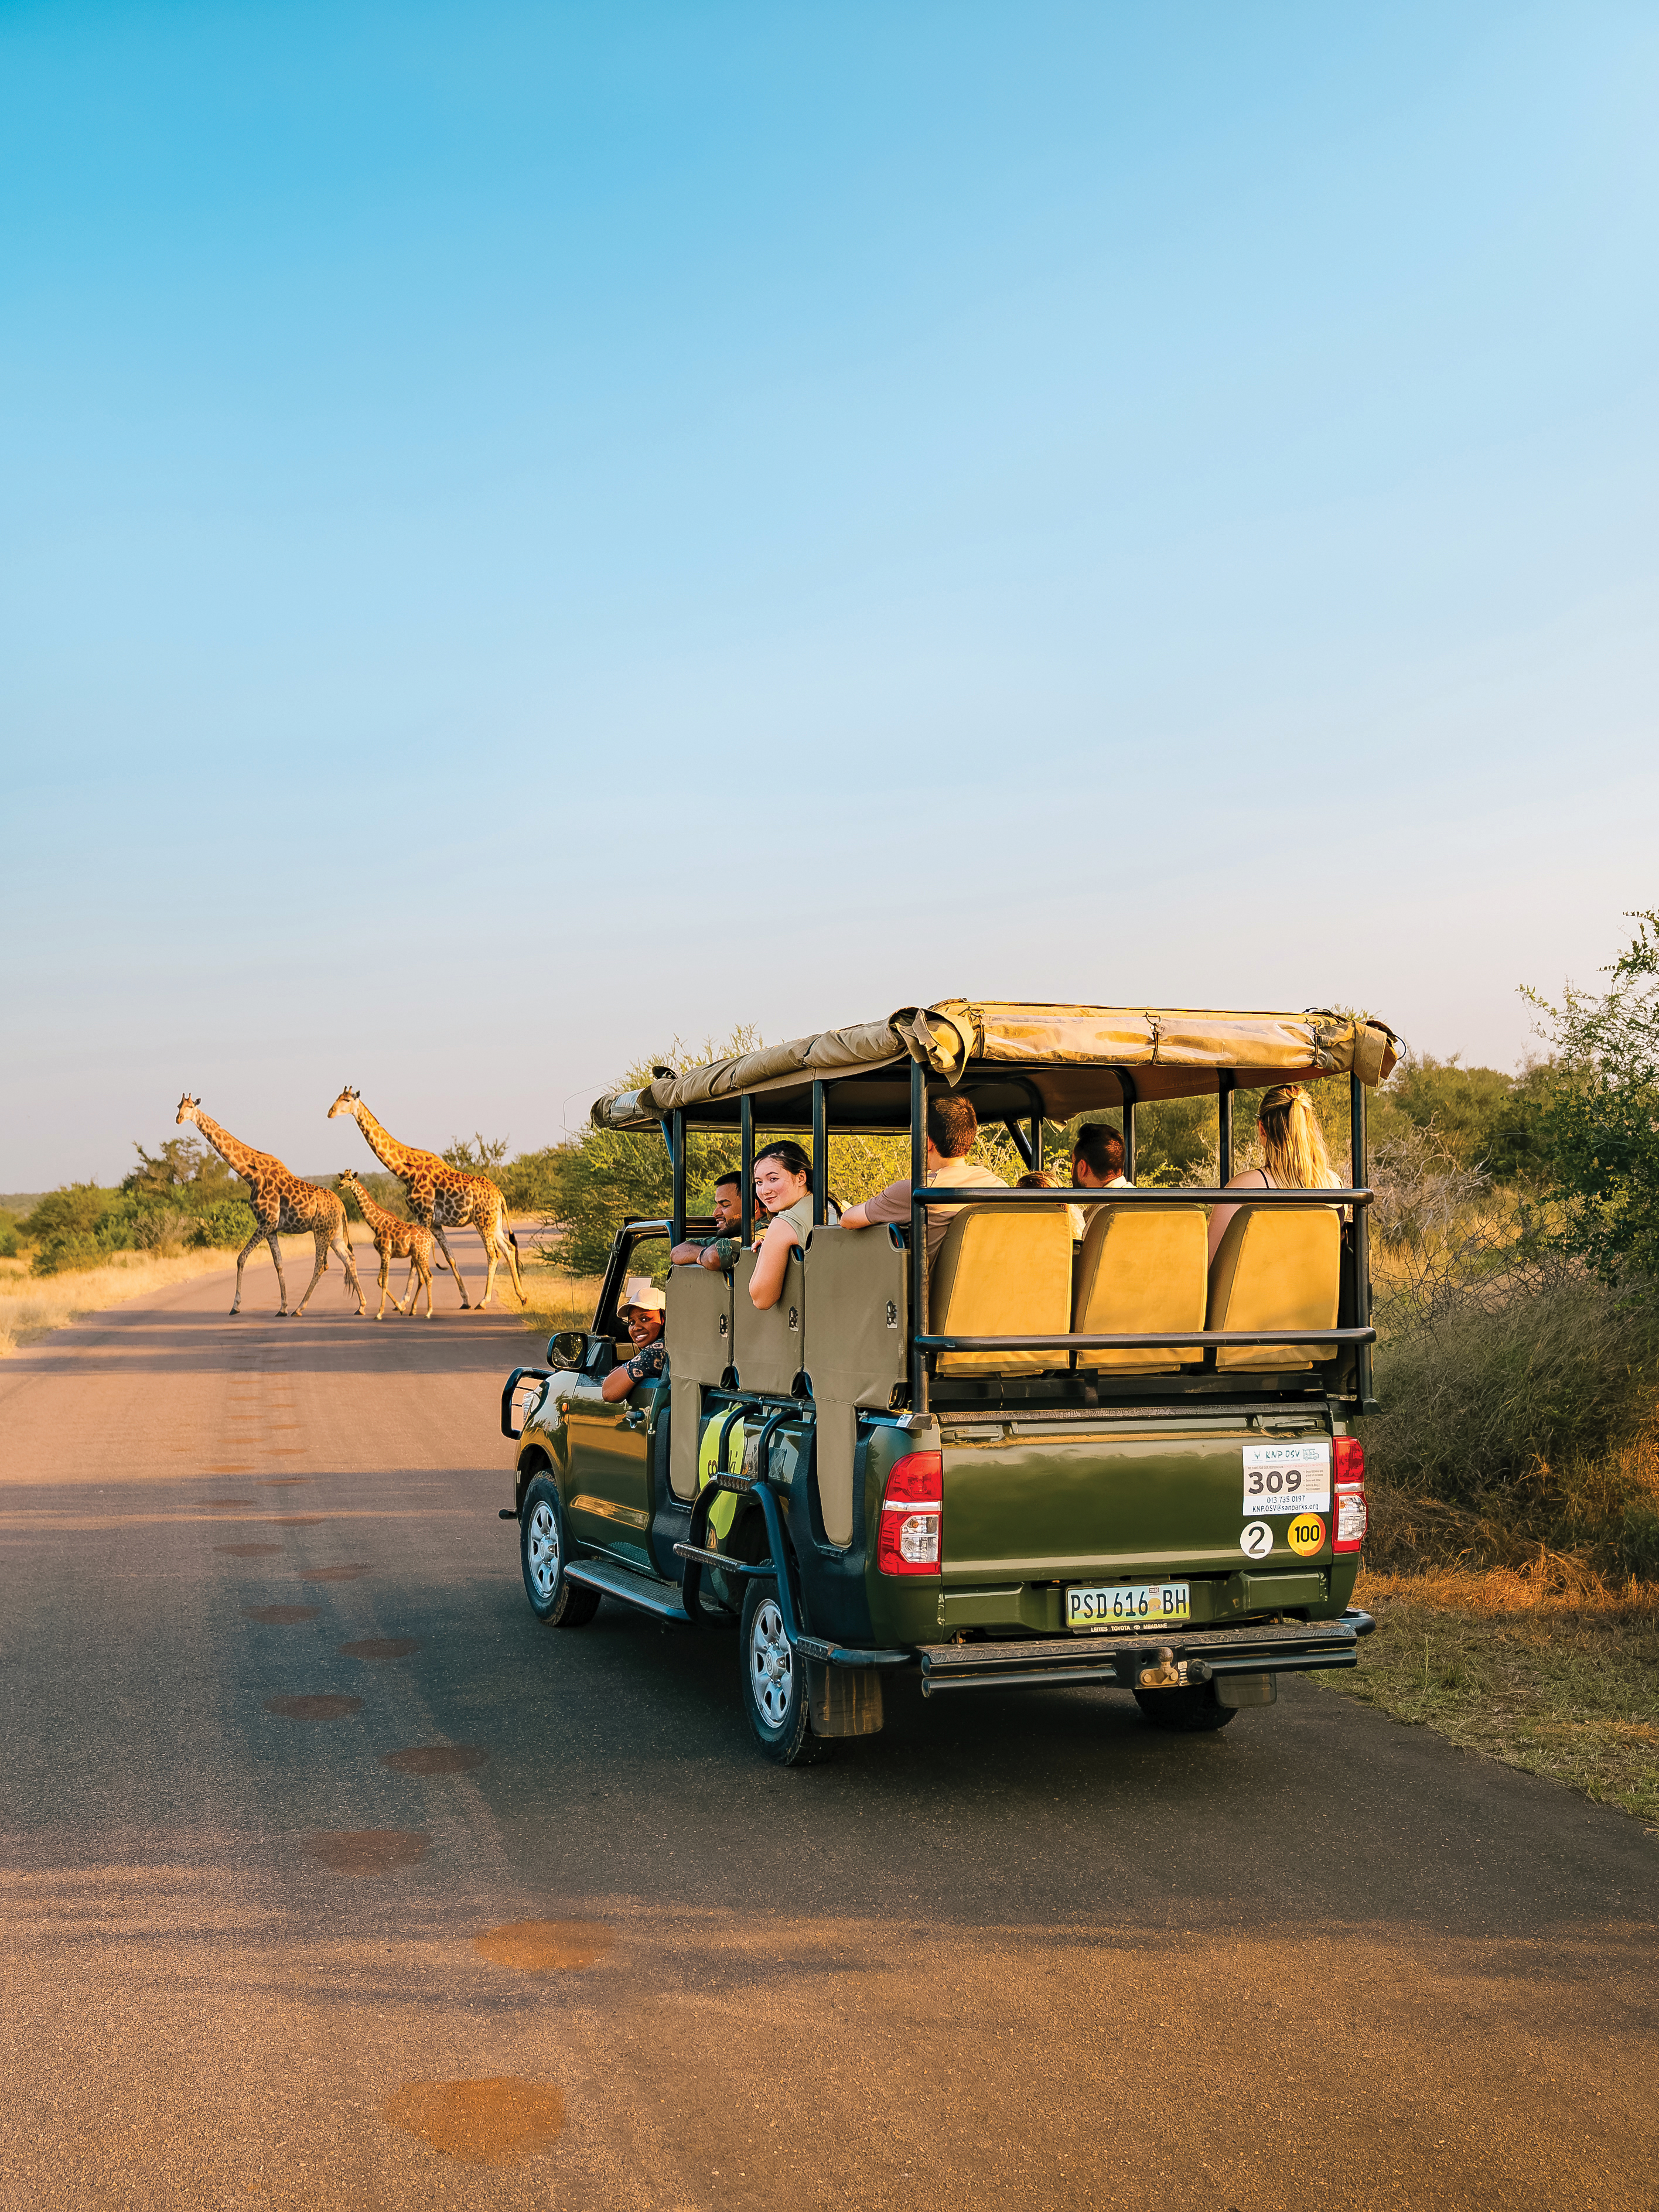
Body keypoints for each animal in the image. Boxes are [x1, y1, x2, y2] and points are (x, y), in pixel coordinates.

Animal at [176, 1095, 365, 1319]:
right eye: (178, 1106)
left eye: (190, 1106)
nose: (179, 1119)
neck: (251, 1175)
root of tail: (342, 1206)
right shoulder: (271, 1228)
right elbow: (279, 1264)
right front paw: (282, 1308)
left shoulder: (266, 1222)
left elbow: (241, 1258)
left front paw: (235, 1306)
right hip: (334, 1233)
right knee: (349, 1258)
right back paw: (361, 1306)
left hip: (321, 1231)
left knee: (322, 1264)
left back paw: (300, 1308)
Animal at [336, 1170, 450, 1320]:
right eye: (342, 1177)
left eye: (350, 1179)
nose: (339, 1185)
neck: (377, 1224)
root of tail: (431, 1239)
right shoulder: (384, 1254)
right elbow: (380, 1281)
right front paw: (401, 1308)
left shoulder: (386, 1253)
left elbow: (385, 1281)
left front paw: (379, 1314)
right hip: (417, 1256)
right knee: (422, 1278)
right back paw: (413, 1310)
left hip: (422, 1255)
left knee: (428, 1276)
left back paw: (428, 1312)